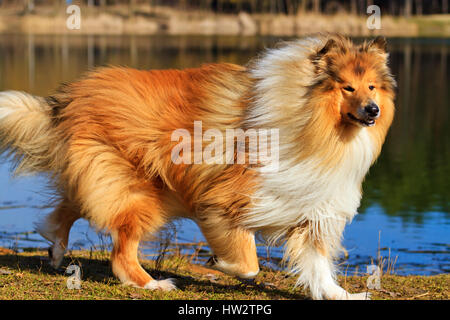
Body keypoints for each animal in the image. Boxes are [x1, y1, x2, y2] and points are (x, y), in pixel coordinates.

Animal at [0, 33, 394, 298]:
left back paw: (55, 248)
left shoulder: (312, 209)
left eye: (372, 87)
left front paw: (342, 295)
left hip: (110, 180)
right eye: (347, 87)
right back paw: (153, 284)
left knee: (68, 207)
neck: (315, 124)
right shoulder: (227, 201)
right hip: (139, 193)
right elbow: (249, 263)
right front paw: (217, 264)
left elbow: (318, 264)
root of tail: (67, 100)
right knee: (120, 253)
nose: (372, 111)